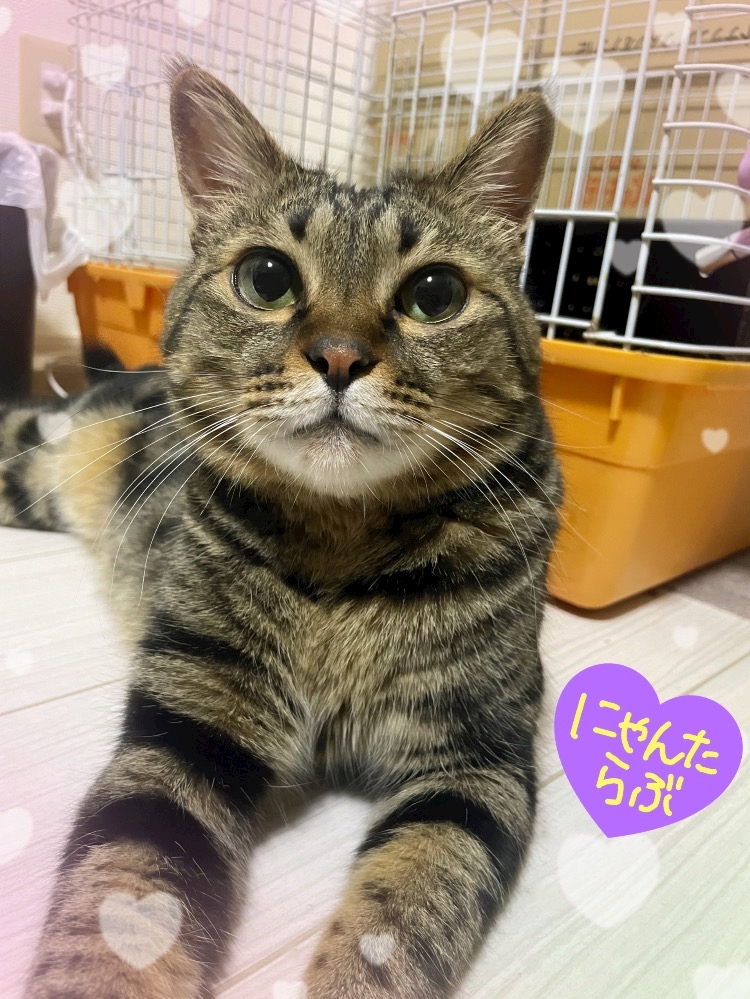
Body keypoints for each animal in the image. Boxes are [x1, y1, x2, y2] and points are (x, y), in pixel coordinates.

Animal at [2, 61, 561, 999]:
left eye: (435, 294)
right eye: (267, 278)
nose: (338, 356)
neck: (342, 542)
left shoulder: (475, 758)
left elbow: (409, 906)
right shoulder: (183, 722)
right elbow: (118, 894)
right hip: (41, 472)